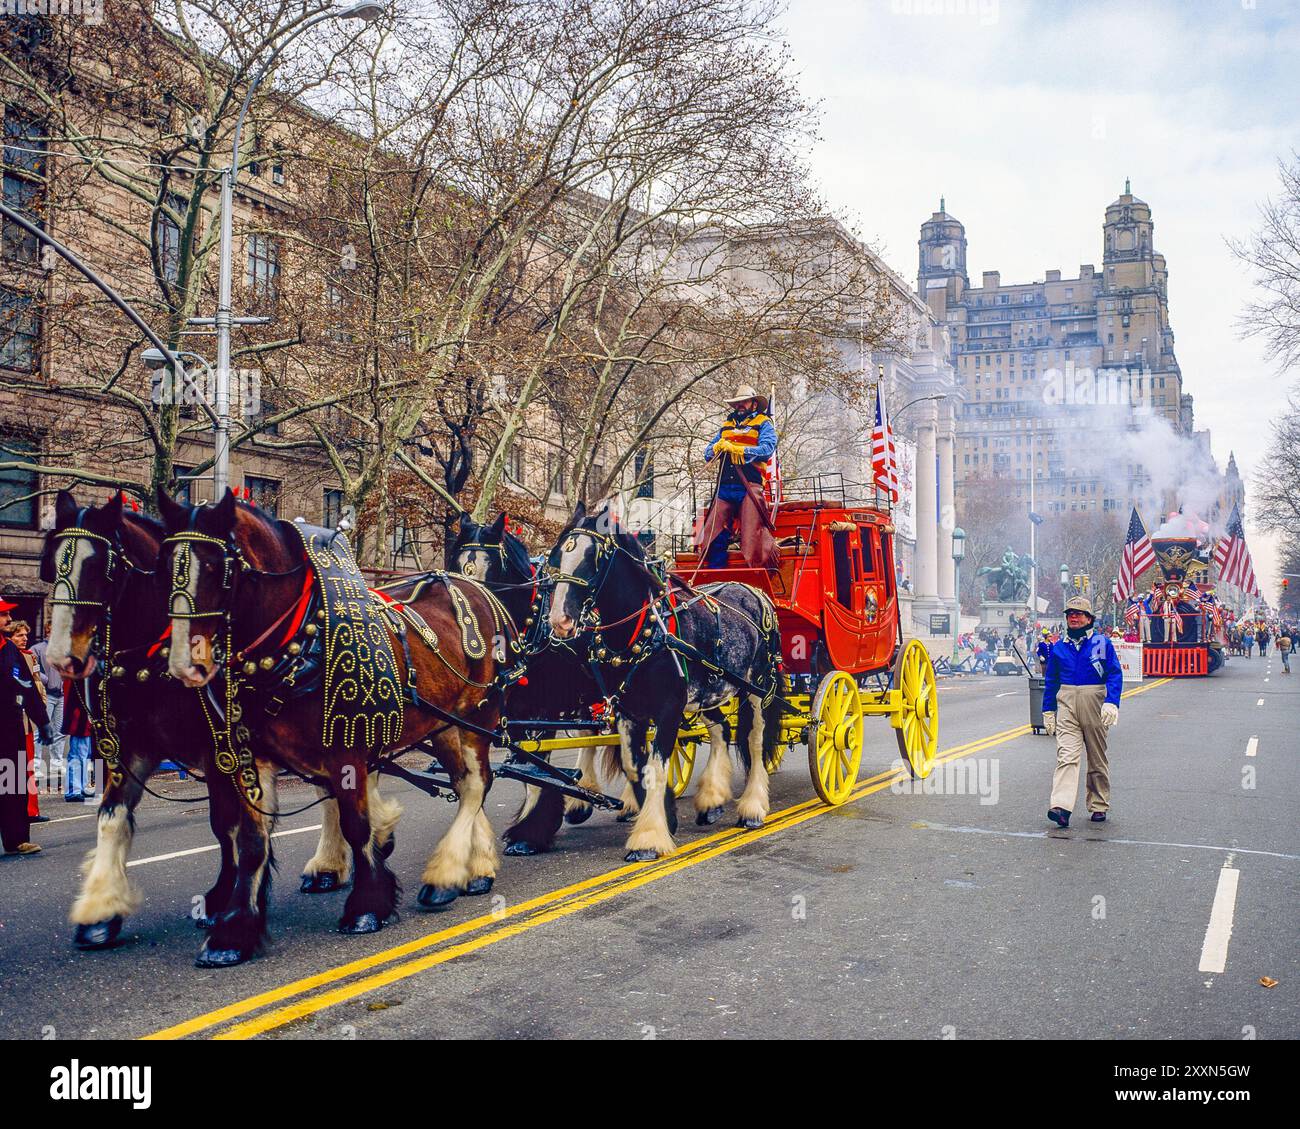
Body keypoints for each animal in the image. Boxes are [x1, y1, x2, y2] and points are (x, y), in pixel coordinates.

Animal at [41, 489, 246, 957]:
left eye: (101, 566)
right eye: (51, 560)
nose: (60, 657)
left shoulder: (219, 752)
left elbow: (225, 824)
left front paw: (222, 900)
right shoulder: (130, 748)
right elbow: (111, 816)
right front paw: (100, 913)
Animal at [157, 483, 506, 962]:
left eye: (216, 567)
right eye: (164, 565)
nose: (182, 665)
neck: (302, 637)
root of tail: (475, 586)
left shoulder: (348, 748)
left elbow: (356, 825)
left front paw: (367, 906)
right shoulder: (250, 755)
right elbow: (250, 839)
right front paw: (234, 931)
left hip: (478, 716)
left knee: (474, 786)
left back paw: (447, 873)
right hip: (443, 726)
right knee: (468, 782)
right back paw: (473, 868)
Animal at [546, 499, 780, 858]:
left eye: (593, 558)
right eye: (557, 556)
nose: (559, 620)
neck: (643, 630)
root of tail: (755, 592)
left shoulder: (669, 710)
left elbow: (655, 769)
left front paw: (649, 838)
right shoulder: (629, 711)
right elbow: (634, 767)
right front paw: (664, 818)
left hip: (757, 688)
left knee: (754, 740)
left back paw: (752, 807)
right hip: (708, 691)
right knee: (721, 730)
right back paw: (711, 800)